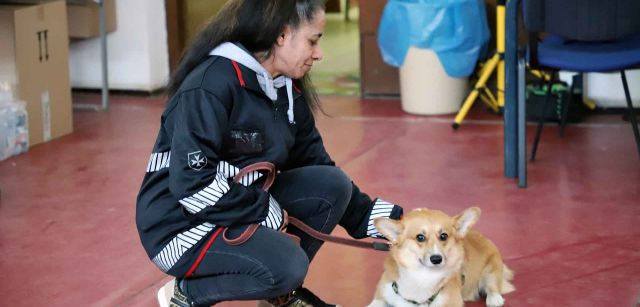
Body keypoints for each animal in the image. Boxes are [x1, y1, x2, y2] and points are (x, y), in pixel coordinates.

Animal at [368, 208, 512, 306]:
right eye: (420, 237)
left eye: (444, 236)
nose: (436, 259)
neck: (422, 277)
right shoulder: (383, 293)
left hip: (491, 270)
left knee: (493, 286)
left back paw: (494, 299)